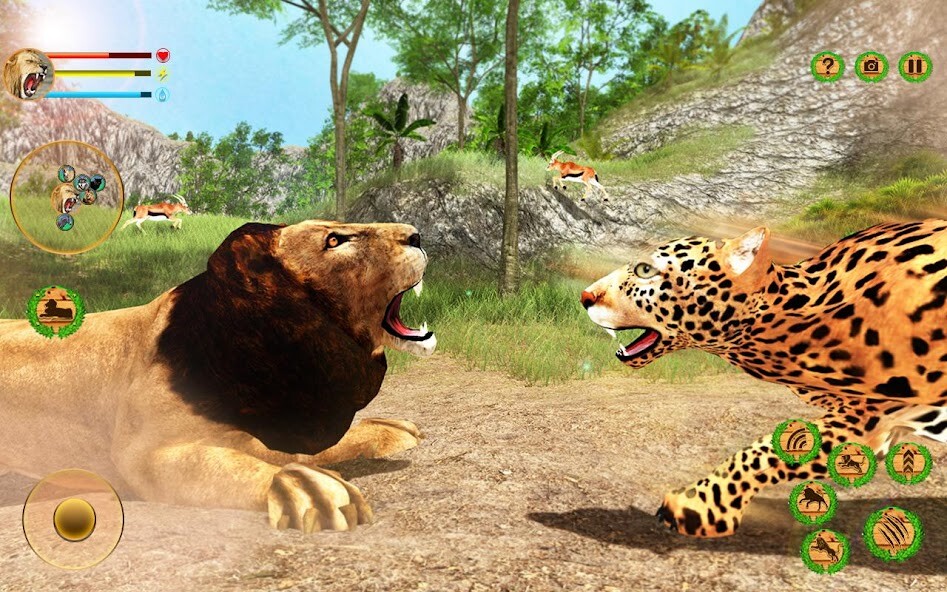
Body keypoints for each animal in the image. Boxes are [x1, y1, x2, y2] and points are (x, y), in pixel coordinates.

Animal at [0, 220, 436, 532]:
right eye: (334, 240)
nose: (416, 234)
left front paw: (387, 429)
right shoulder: (141, 454)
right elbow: (228, 463)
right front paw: (309, 487)